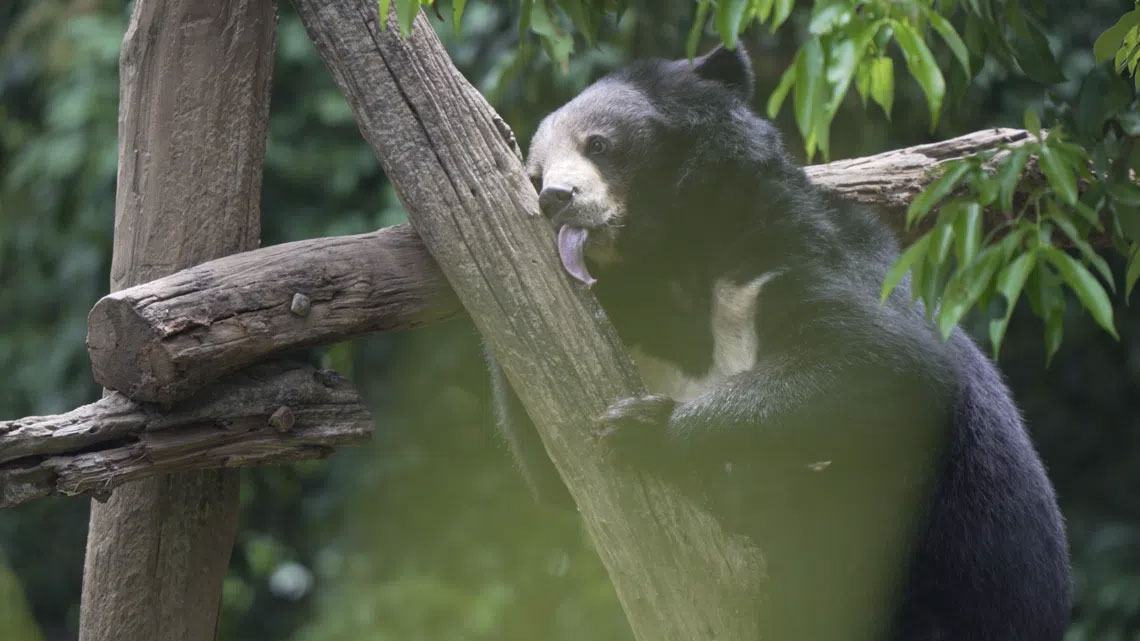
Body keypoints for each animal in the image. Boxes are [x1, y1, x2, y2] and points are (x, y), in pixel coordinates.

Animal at [487, 44, 1070, 641]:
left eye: (599, 144)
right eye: (535, 174)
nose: (556, 198)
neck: (671, 258)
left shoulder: (796, 252)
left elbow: (890, 366)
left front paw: (642, 428)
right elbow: (556, 465)